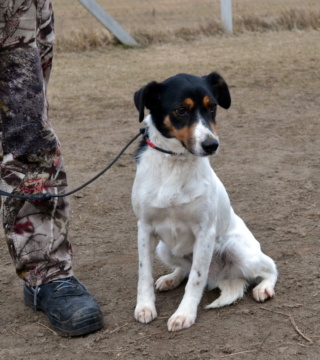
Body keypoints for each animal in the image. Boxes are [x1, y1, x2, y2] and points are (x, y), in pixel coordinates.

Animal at [131, 71, 276, 332]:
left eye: (212, 107)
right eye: (180, 110)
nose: (211, 145)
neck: (175, 164)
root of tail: (221, 277)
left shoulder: (205, 232)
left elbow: (196, 280)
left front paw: (184, 314)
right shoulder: (144, 229)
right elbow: (144, 273)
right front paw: (145, 307)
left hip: (238, 249)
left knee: (270, 266)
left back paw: (264, 287)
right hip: (164, 248)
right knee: (185, 269)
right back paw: (171, 278)